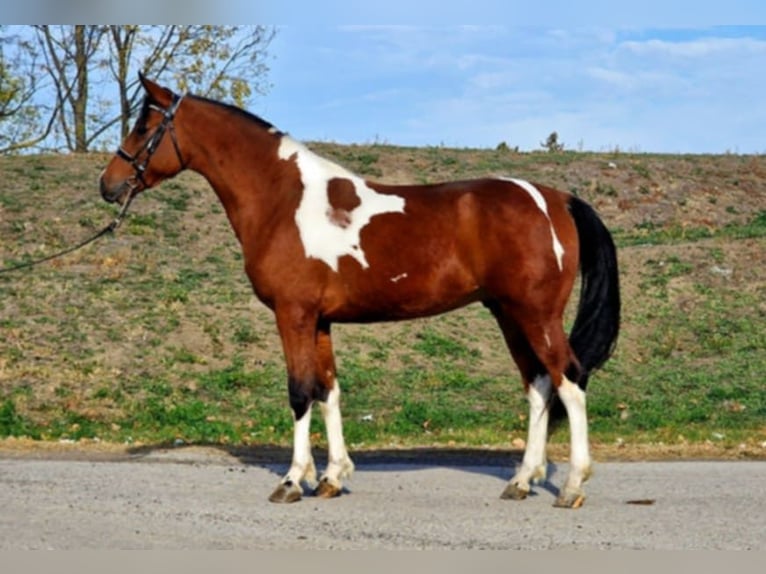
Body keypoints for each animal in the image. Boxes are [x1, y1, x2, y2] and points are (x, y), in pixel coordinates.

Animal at [100, 74, 620, 508]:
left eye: (143, 127)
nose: (108, 184)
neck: (283, 200)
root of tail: (556, 199)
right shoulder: (320, 321)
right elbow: (327, 390)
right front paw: (330, 477)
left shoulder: (293, 314)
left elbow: (299, 392)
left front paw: (292, 481)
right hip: (508, 313)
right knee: (539, 384)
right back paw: (522, 480)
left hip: (536, 314)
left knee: (570, 380)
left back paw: (571, 486)